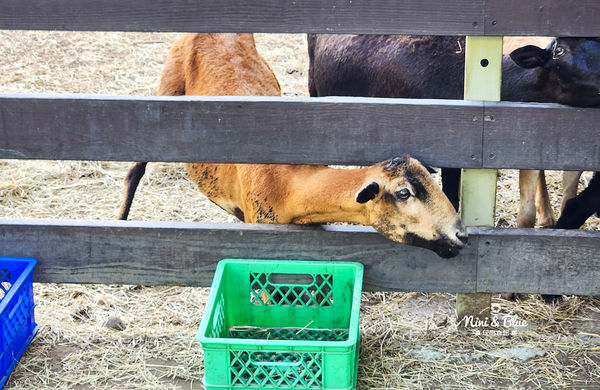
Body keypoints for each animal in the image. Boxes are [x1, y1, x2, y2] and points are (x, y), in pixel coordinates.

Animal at [115, 33, 466, 258]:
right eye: (404, 193)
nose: (461, 234)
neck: (289, 181)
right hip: (166, 89)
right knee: (135, 169)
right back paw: (119, 222)